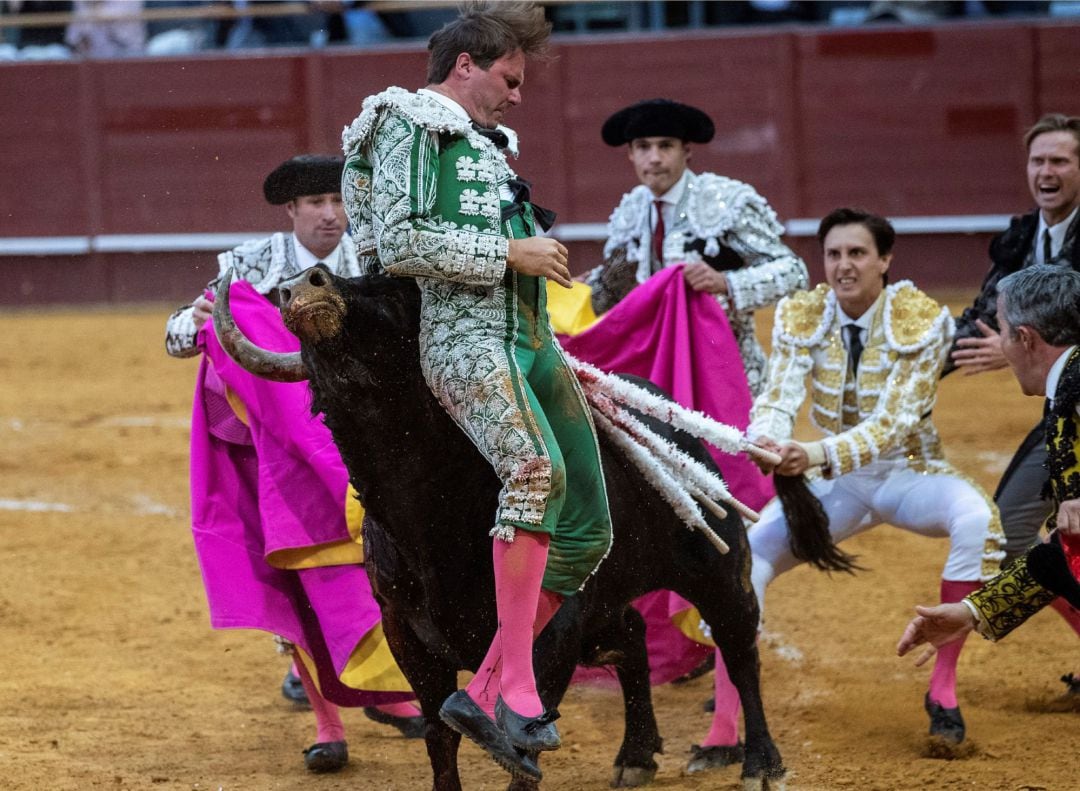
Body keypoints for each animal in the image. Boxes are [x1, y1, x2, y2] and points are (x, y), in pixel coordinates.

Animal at [212, 266, 786, 791]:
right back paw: (636, 756)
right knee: (633, 636)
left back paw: (760, 763)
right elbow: (441, 736)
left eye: (393, 295)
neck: (429, 519)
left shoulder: (550, 639)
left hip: (717, 569)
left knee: (739, 649)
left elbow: (520, 741)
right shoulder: (406, 637)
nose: (303, 283)